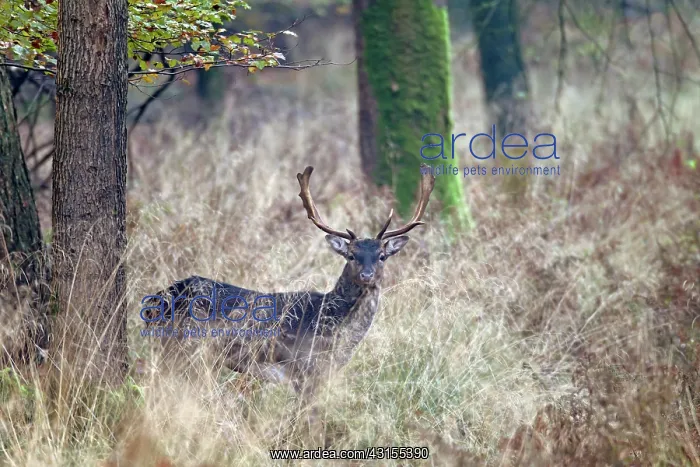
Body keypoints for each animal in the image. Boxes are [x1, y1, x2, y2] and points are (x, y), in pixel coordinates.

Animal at [142, 165, 435, 399]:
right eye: (352, 255)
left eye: (382, 256)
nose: (367, 275)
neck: (333, 328)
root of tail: (157, 300)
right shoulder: (305, 370)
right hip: (184, 348)